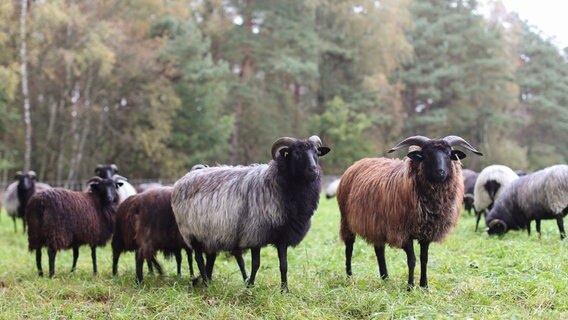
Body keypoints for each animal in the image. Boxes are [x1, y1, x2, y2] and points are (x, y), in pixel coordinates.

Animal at [171, 135, 330, 290]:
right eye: (296, 153)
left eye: (316, 152)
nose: (313, 170)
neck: (275, 184)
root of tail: (188, 175)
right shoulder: (254, 233)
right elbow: (256, 264)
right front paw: (250, 287)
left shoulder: (283, 236)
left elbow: (284, 265)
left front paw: (284, 290)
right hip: (193, 232)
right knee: (199, 259)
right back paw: (205, 283)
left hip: (210, 235)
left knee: (210, 258)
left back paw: (208, 282)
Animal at [338, 135, 484, 288]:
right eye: (427, 154)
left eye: (449, 154)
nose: (440, 172)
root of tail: (357, 163)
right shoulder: (403, 232)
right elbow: (412, 260)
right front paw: (410, 286)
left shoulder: (426, 233)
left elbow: (424, 258)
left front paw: (424, 286)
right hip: (347, 220)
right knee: (349, 248)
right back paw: (349, 276)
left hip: (377, 224)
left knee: (379, 250)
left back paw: (385, 278)